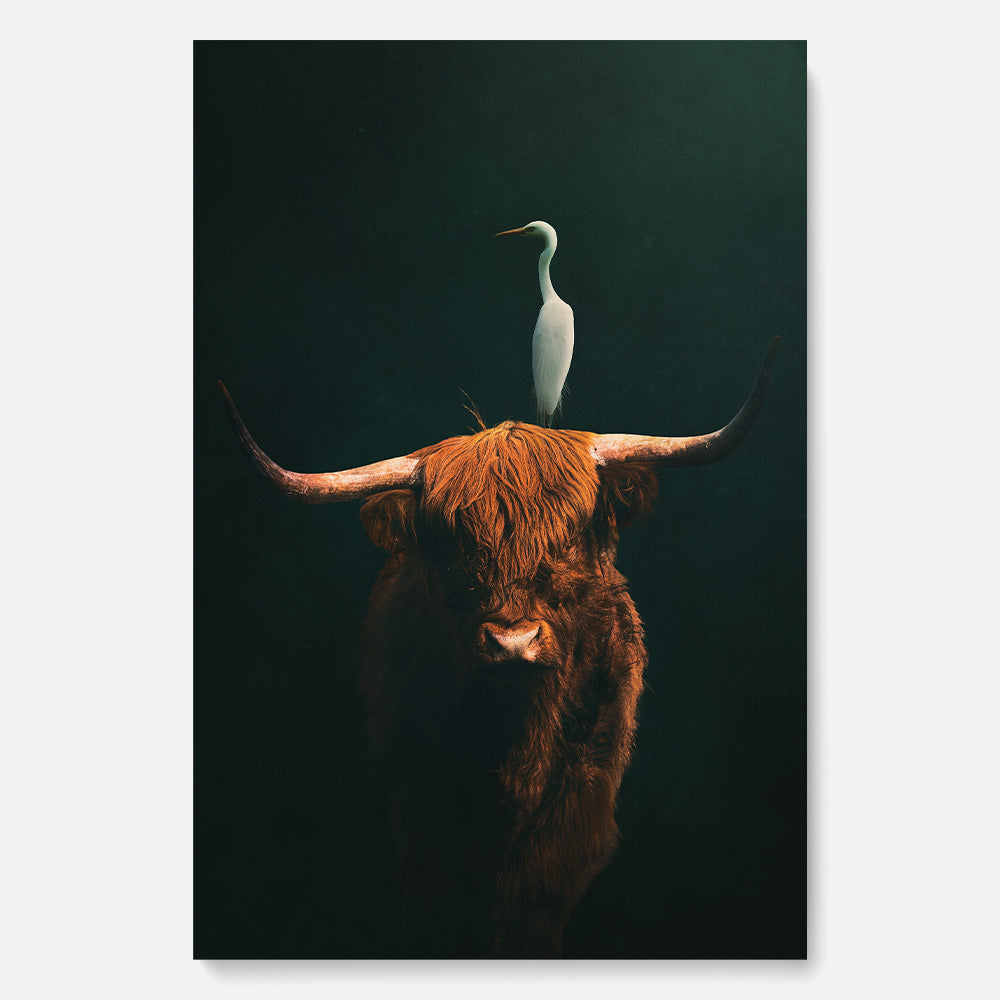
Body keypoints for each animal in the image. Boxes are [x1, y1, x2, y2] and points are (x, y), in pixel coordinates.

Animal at [218, 335, 778, 958]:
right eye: (451, 543)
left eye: (571, 536)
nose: (514, 643)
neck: (517, 736)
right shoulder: (417, 795)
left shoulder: (583, 792)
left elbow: (537, 892)